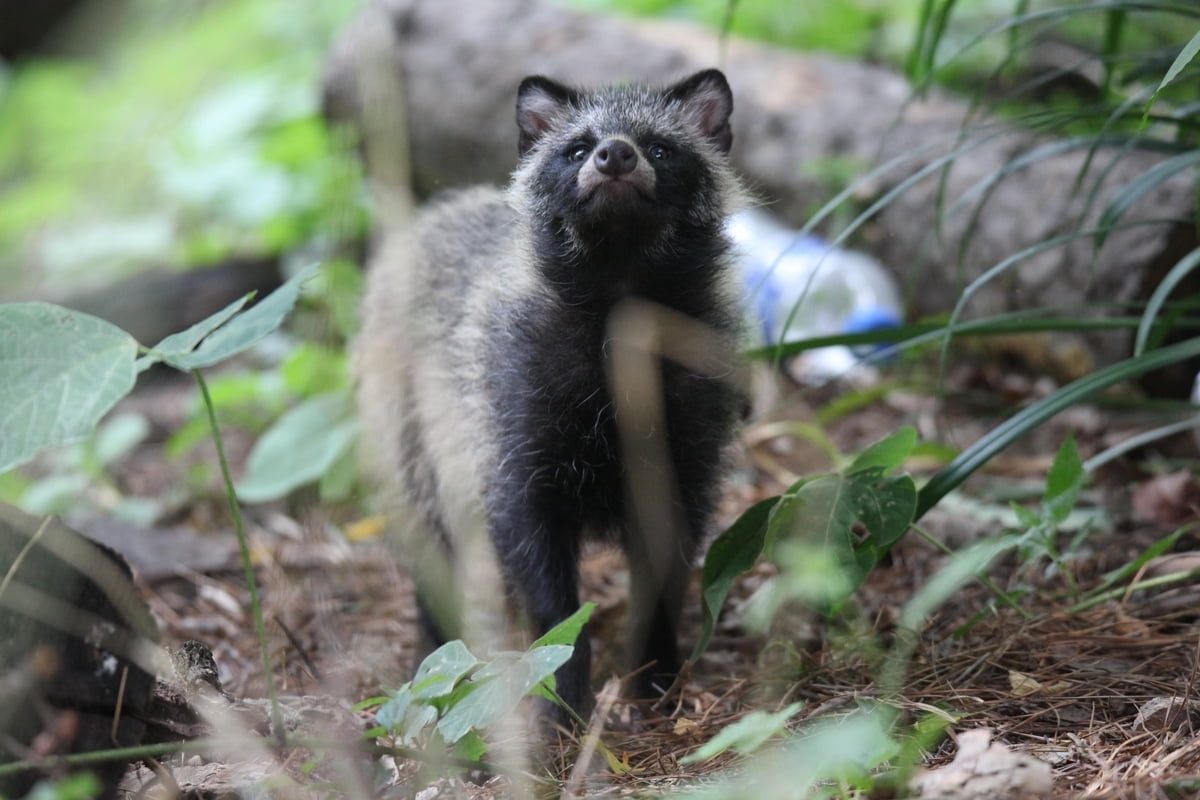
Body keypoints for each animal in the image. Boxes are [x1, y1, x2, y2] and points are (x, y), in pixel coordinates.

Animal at [355, 68, 744, 719]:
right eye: (578, 148)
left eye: (662, 147)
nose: (616, 154)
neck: (618, 291)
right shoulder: (514, 420)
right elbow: (546, 582)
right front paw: (565, 692)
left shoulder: (688, 428)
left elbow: (667, 560)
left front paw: (656, 672)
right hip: (406, 417)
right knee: (430, 535)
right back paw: (435, 646)